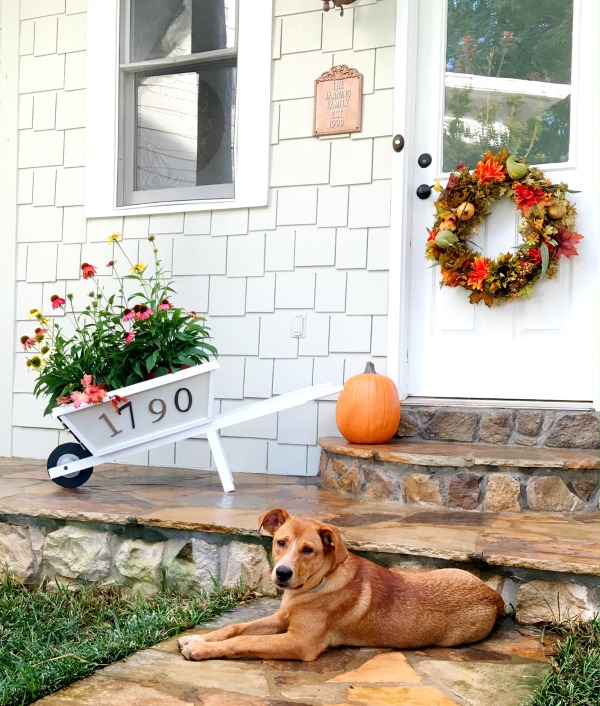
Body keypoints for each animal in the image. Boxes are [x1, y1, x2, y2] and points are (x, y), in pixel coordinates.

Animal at [176, 506, 504, 660]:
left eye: (308, 550)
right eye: (281, 542)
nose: (282, 574)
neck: (317, 584)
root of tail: (493, 595)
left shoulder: (299, 642)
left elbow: (244, 641)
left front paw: (201, 650)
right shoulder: (281, 620)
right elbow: (235, 628)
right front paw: (198, 639)